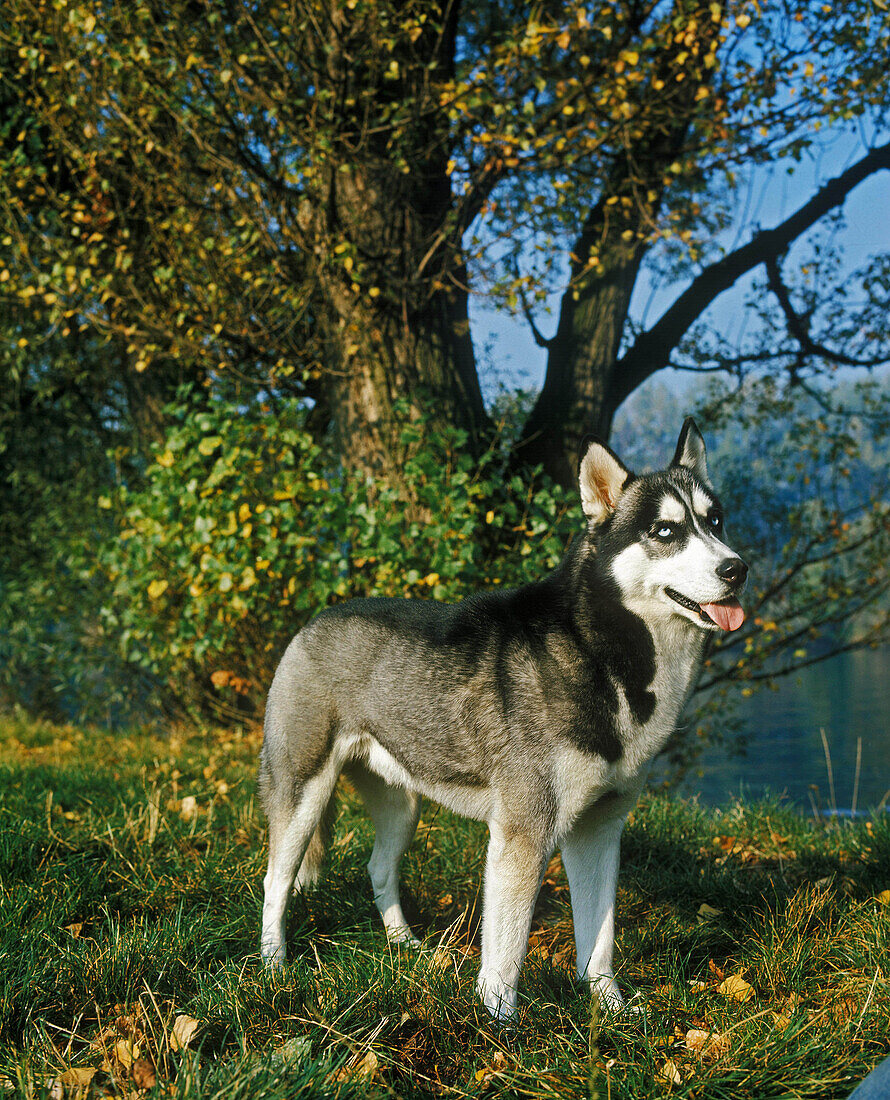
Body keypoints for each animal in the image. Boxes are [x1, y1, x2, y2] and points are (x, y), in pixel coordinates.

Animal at [260, 415, 748, 1016]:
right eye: (664, 531)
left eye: (715, 520)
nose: (737, 568)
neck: (603, 651)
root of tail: (314, 622)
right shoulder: (523, 835)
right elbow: (508, 947)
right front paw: (499, 1020)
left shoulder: (598, 830)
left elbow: (600, 936)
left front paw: (608, 1006)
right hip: (301, 795)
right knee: (275, 882)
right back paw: (273, 965)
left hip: (403, 806)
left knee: (377, 867)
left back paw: (407, 947)